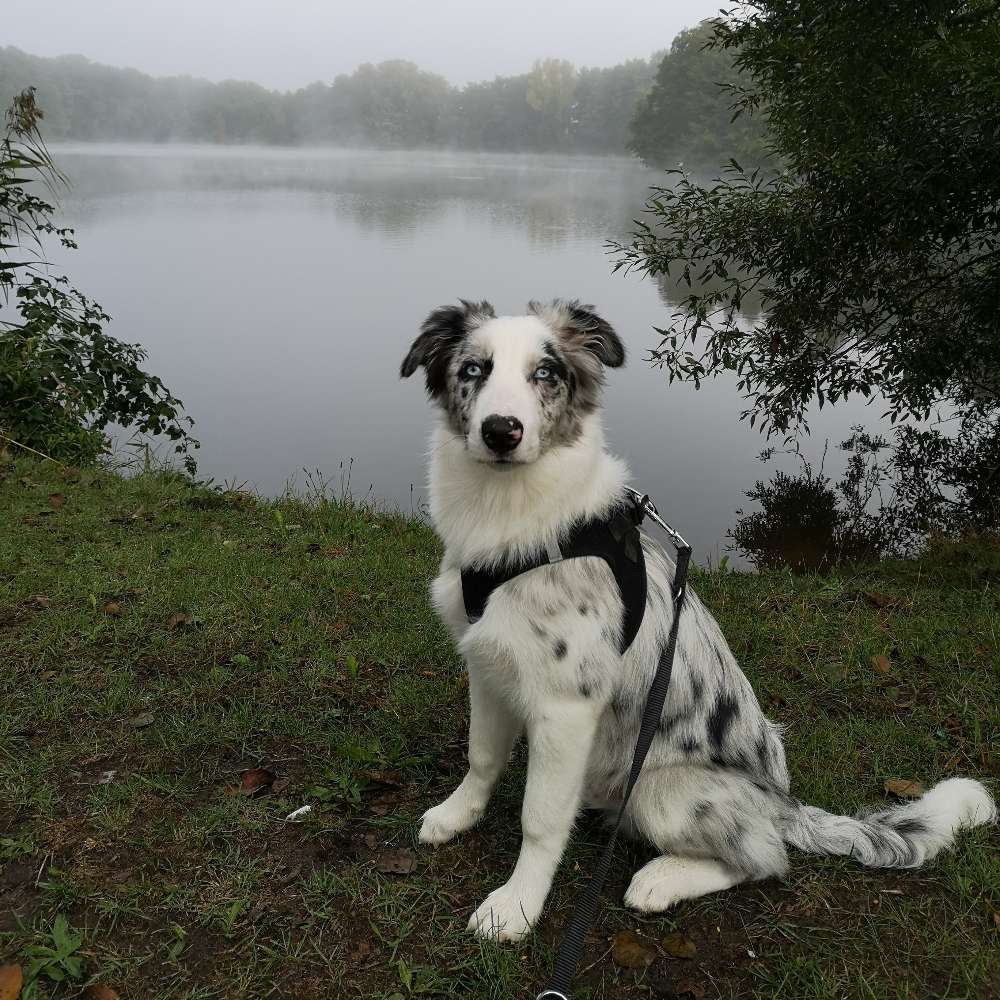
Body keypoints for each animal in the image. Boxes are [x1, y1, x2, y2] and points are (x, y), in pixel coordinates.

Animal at [400, 300, 1000, 940]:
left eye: (546, 373)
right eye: (473, 370)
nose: (501, 431)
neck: (516, 520)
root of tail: (780, 803)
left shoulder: (566, 706)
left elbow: (539, 817)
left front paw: (516, 905)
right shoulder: (488, 665)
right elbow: (482, 756)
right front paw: (457, 815)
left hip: (658, 789)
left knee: (766, 858)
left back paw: (661, 880)